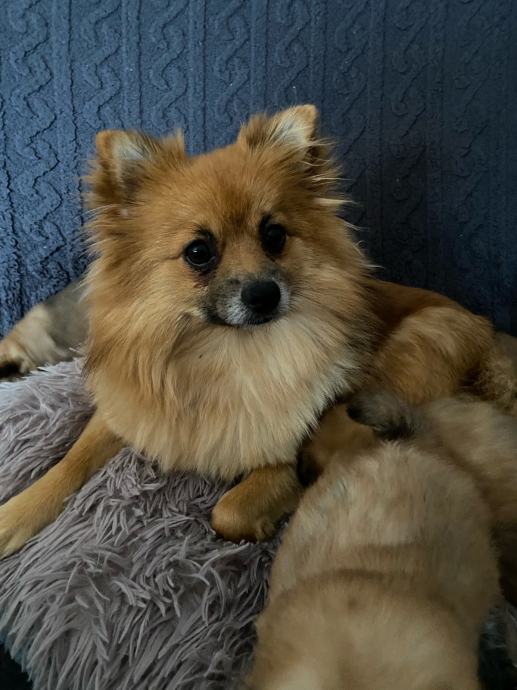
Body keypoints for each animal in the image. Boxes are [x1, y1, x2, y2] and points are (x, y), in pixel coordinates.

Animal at [0, 105, 515, 558]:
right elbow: (69, 462)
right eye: (199, 252)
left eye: (274, 236)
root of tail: (491, 337)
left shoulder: (288, 454)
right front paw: (17, 513)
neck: (221, 355)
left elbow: (228, 512)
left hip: (413, 348)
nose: (264, 294)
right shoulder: (125, 413)